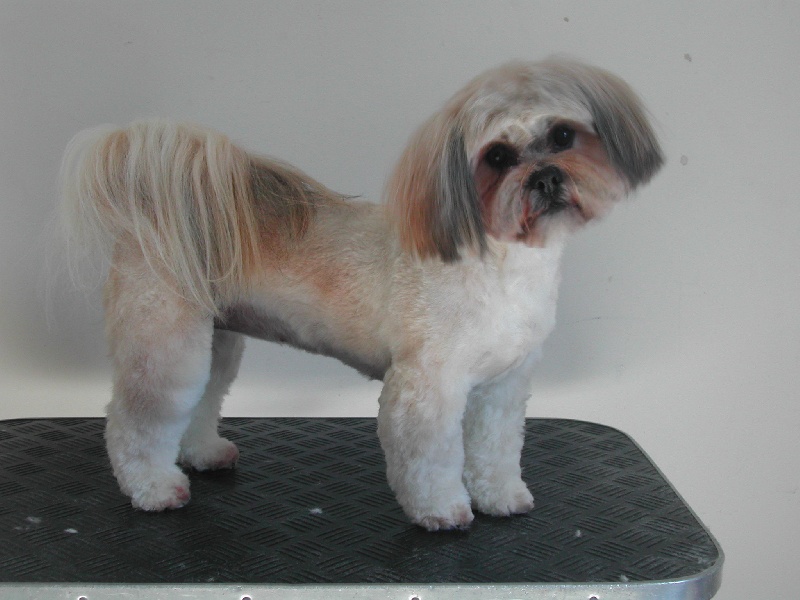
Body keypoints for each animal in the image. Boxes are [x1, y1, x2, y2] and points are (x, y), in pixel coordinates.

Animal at [60, 58, 662, 531]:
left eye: (563, 136)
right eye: (497, 157)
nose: (546, 178)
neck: (497, 262)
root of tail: (152, 209)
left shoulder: (502, 387)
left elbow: (495, 449)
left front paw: (501, 496)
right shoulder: (426, 386)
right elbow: (429, 460)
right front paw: (442, 510)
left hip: (217, 340)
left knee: (200, 400)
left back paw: (204, 453)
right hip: (165, 342)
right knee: (137, 421)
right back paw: (154, 488)